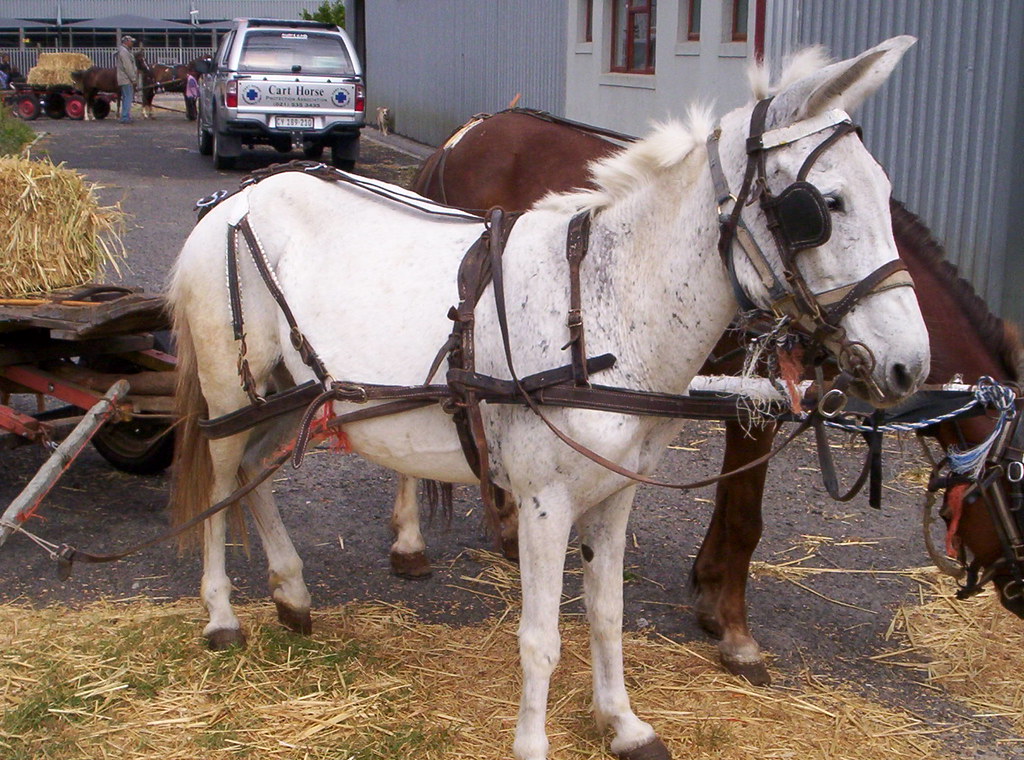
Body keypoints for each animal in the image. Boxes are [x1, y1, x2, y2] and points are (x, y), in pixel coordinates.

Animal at [169, 37, 925, 760]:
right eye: (823, 206)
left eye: (885, 193)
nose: (910, 365)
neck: (601, 308)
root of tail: (232, 203)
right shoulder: (544, 500)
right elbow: (539, 637)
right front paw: (534, 743)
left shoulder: (614, 494)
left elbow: (605, 615)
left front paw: (623, 725)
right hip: (231, 389)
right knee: (222, 480)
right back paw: (222, 617)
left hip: (288, 394)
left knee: (253, 475)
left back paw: (292, 594)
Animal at [406, 109, 1024, 687]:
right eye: (1016, 478)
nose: (1018, 592)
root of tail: (470, 131)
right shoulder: (759, 401)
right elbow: (746, 516)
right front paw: (735, 630)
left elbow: (734, 508)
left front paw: (709, 593)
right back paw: (409, 543)